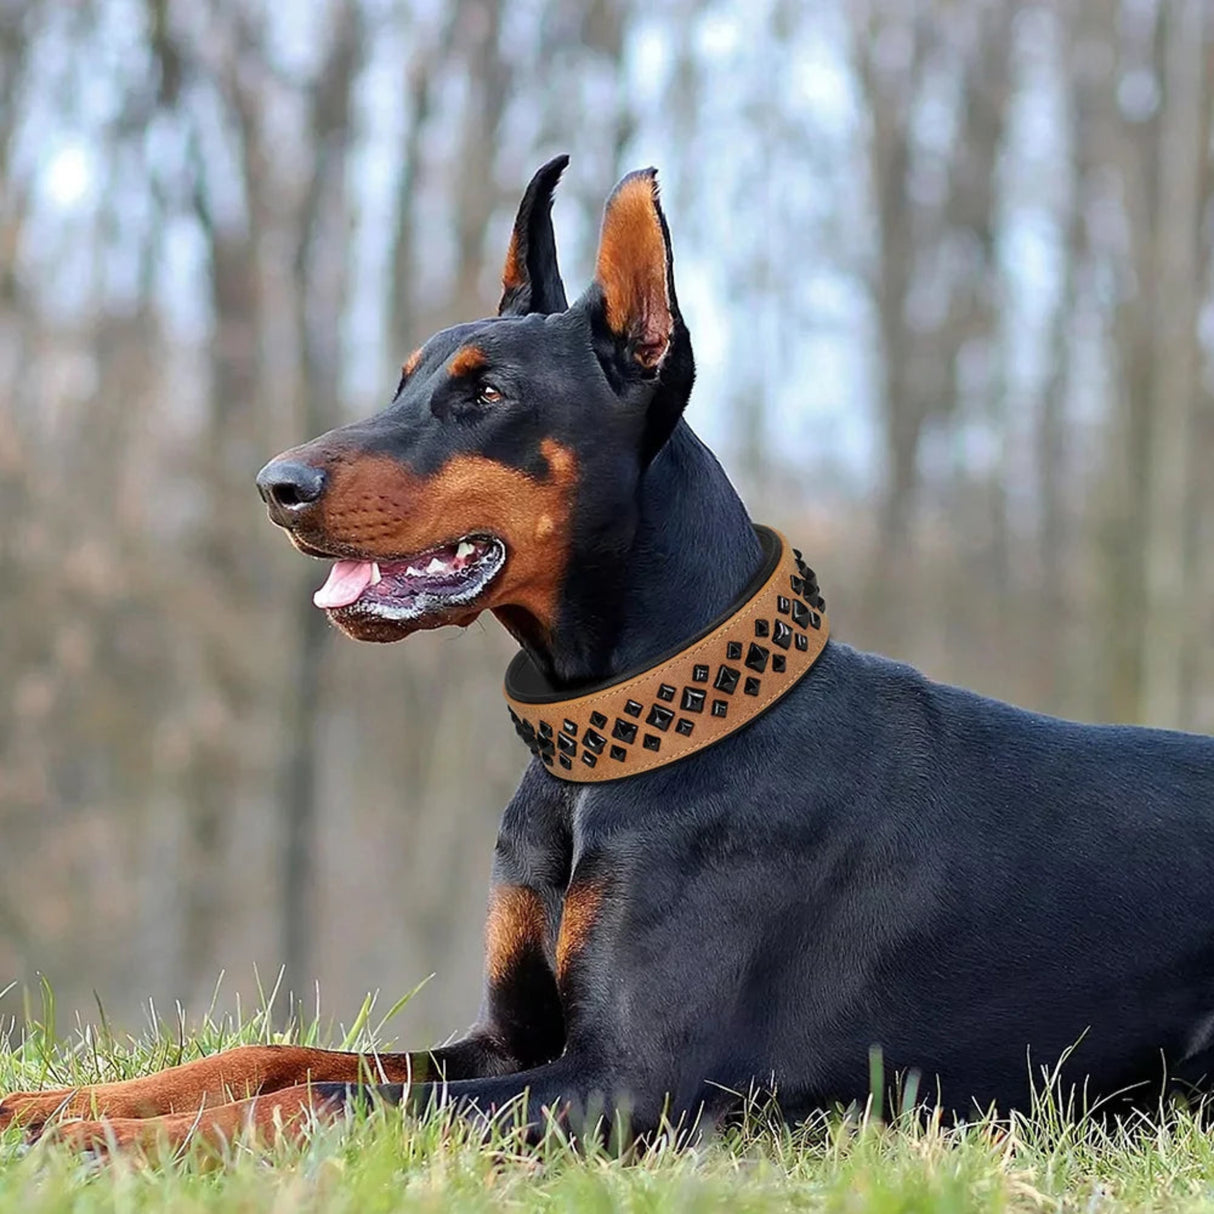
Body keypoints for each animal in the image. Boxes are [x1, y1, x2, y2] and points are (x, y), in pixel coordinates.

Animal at [7, 156, 1214, 1150]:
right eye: (405, 379)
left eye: (487, 392)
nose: (276, 484)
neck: (606, 741)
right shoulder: (507, 1042)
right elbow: (267, 1058)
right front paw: (56, 1104)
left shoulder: (619, 1081)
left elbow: (316, 1097)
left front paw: (107, 1142)